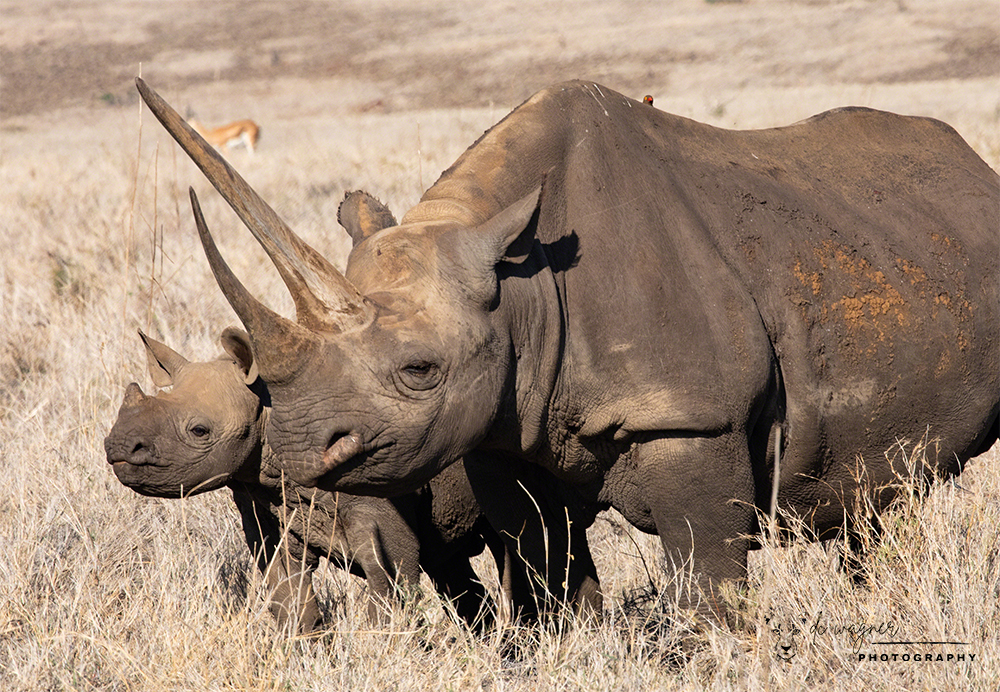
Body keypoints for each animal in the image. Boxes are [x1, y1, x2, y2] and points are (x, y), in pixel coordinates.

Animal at [105, 329, 516, 632]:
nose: (118, 447)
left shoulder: (381, 512)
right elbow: (288, 594)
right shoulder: (264, 504)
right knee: (447, 560)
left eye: (200, 431)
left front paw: (380, 653)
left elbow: (388, 584)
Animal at [134, 77, 999, 622]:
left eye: (419, 371)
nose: (289, 454)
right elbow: (546, 571)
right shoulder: (499, 433)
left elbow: (707, 579)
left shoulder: (691, 415)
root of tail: (971, 167)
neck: (519, 288)